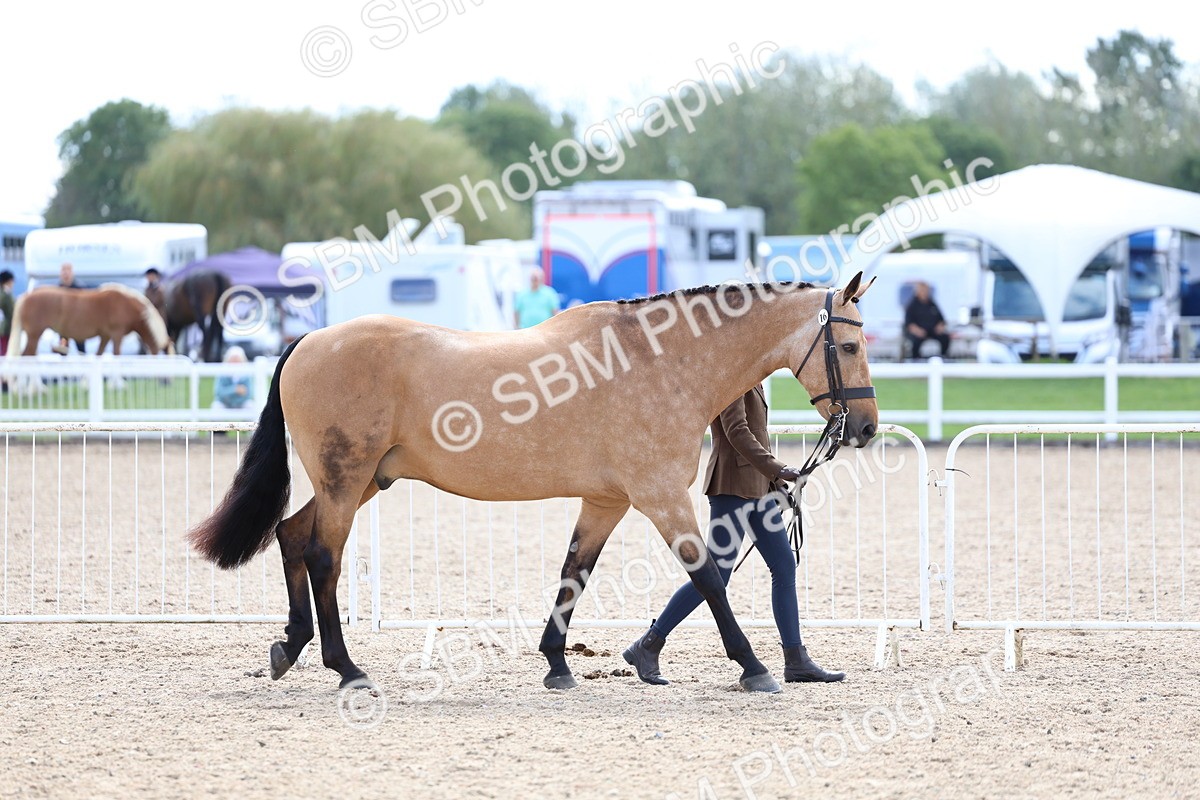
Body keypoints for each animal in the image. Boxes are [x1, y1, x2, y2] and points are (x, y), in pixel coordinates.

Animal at [6, 284, 173, 358]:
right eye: (165, 354)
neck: (126, 304)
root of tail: (26, 296)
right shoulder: (116, 335)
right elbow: (116, 354)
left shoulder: (105, 336)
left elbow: (99, 354)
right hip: (34, 335)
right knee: (26, 356)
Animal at [189, 272, 879, 694]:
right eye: (847, 347)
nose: (868, 426)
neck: (658, 362)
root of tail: (306, 341)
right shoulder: (659, 497)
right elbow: (707, 576)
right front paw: (756, 668)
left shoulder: (607, 500)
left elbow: (575, 572)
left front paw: (556, 665)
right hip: (346, 480)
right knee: (322, 555)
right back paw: (346, 668)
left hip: (362, 483)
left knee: (289, 534)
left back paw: (289, 647)